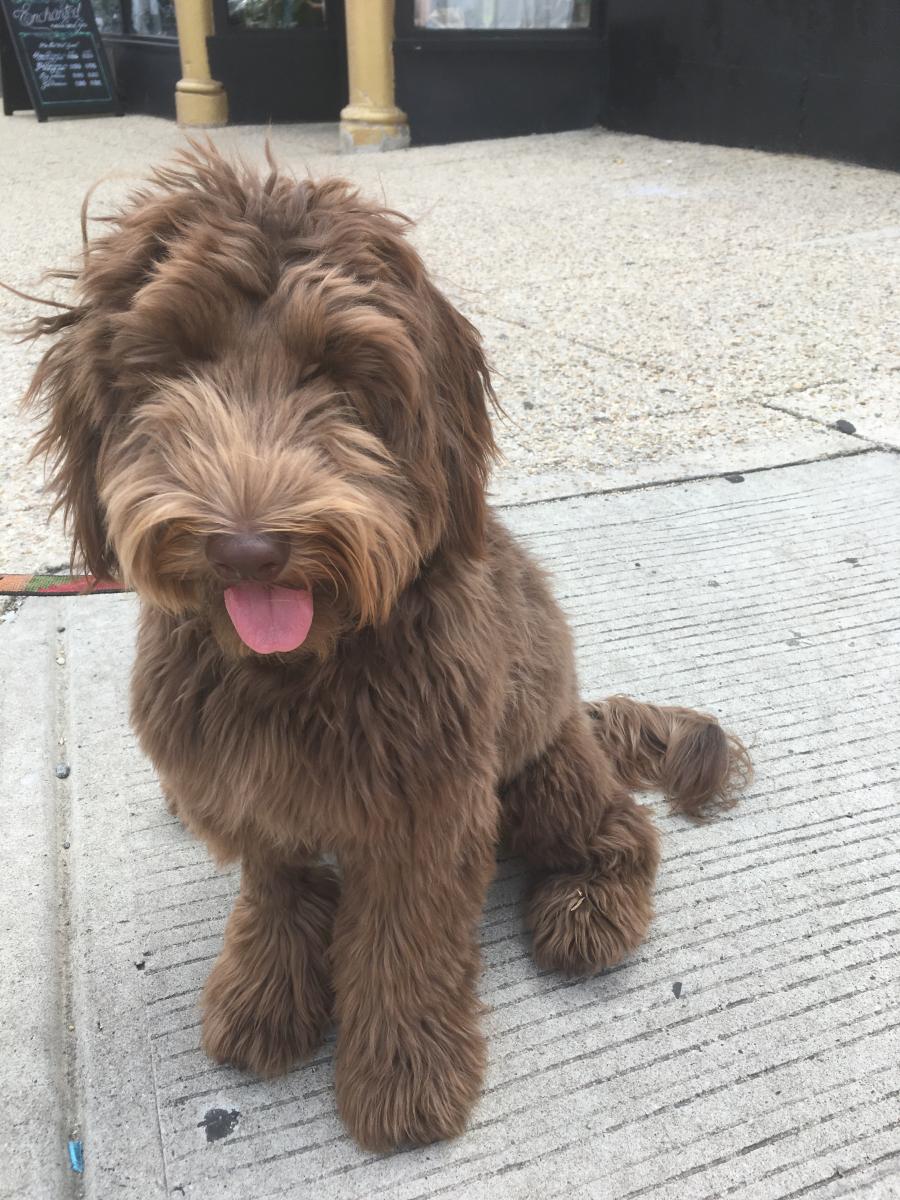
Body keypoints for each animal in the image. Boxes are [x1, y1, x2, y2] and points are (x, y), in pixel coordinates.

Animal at [24, 147, 748, 1152]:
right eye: (177, 359)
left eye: (336, 368)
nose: (246, 548)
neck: (301, 666)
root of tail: (583, 717)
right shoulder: (251, 790)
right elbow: (276, 890)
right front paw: (265, 997)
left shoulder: (427, 809)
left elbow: (404, 943)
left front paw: (403, 1081)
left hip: (541, 774)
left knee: (620, 831)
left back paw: (587, 908)